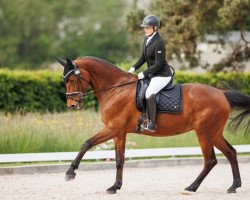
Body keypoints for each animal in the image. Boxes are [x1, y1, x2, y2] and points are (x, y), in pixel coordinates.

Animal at [56, 56, 250, 194]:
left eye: (70, 79)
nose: (72, 105)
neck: (116, 88)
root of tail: (222, 94)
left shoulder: (112, 129)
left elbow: (87, 143)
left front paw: (70, 172)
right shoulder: (119, 132)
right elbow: (119, 159)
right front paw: (115, 186)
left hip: (204, 134)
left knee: (210, 160)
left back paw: (192, 187)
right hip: (214, 134)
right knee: (231, 153)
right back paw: (234, 186)